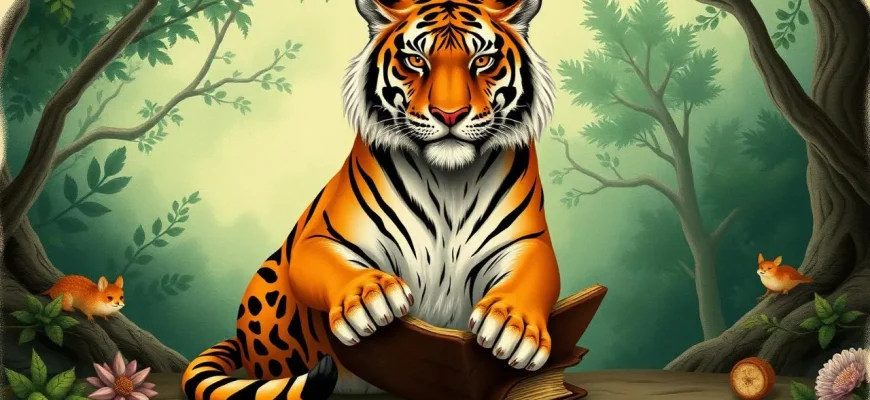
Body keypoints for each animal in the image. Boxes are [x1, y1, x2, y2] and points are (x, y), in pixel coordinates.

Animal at [180, 0, 559, 398]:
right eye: (415, 60)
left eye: (483, 60)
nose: (450, 114)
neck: (450, 182)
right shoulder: (322, 238)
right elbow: (334, 265)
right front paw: (369, 296)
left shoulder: (528, 242)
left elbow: (532, 277)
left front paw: (513, 326)